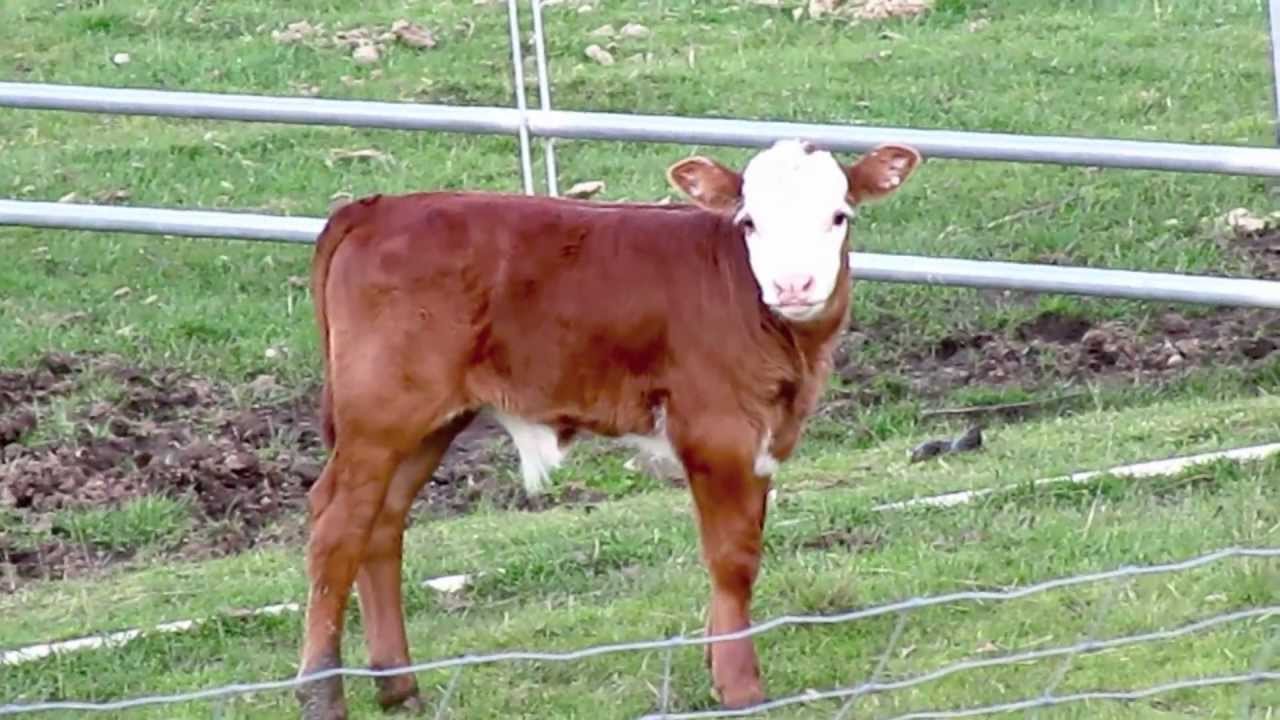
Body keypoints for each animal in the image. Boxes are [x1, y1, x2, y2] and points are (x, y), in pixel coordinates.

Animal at [296, 138, 922, 719]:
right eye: (750, 221)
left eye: (838, 215)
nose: (794, 285)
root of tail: (377, 208)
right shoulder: (717, 431)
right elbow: (733, 557)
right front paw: (740, 685)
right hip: (378, 417)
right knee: (337, 526)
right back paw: (321, 692)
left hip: (427, 423)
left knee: (382, 523)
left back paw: (398, 685)